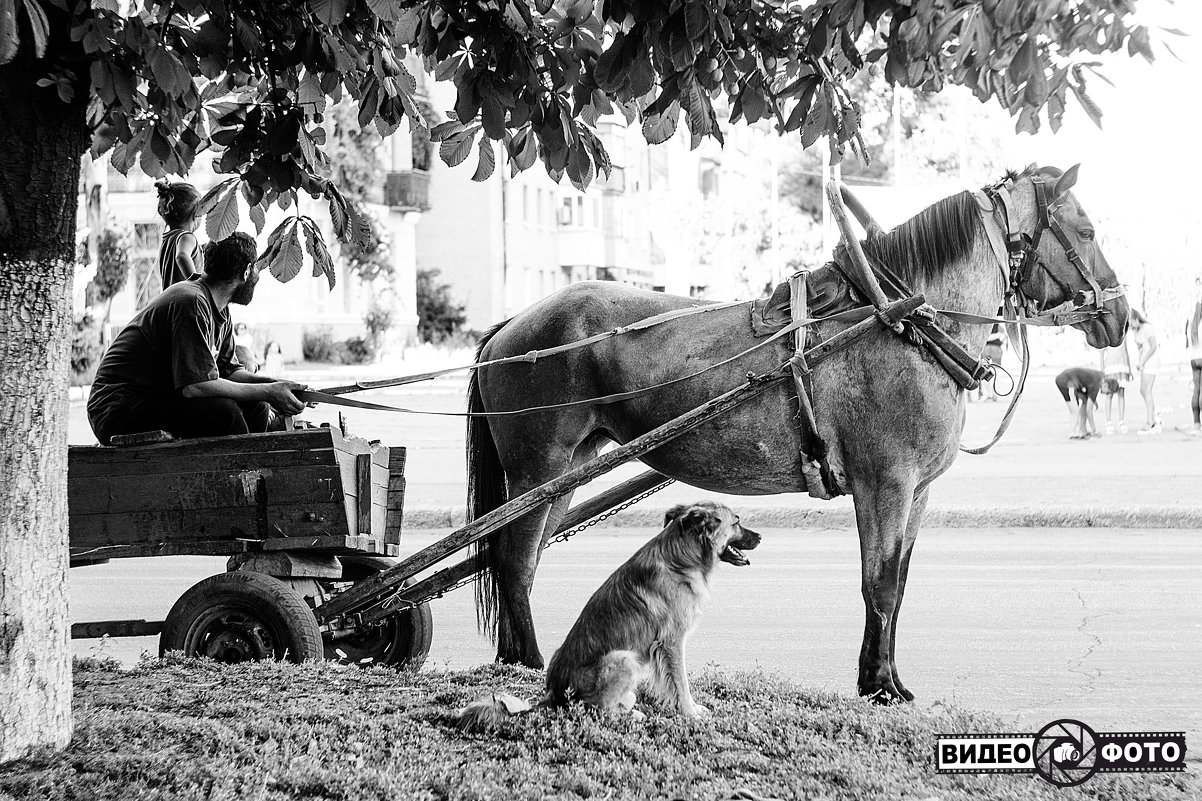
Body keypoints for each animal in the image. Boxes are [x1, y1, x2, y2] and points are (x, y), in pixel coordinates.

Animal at [454, 500, 754, 731]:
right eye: (737, 522)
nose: (760, 537)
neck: (682, 557)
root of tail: (554, 695)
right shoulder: (671, 642)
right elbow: (681, 683)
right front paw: (690, 713)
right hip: (624, 658)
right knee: (597, 710)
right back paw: (630, 715)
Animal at [461, 163, 1125, 697]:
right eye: (1087, 232)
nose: (1120, 315)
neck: (902, 323)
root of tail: (511, 325)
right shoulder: (884, 484)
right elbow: (880, 584)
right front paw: (878, 685)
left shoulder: (916, 492)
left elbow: (899, 583)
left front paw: (885, 676)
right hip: (536, 467)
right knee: (513, 557)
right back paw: (527, 660)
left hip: (567, 470)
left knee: (520, 557)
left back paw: (515, 656)